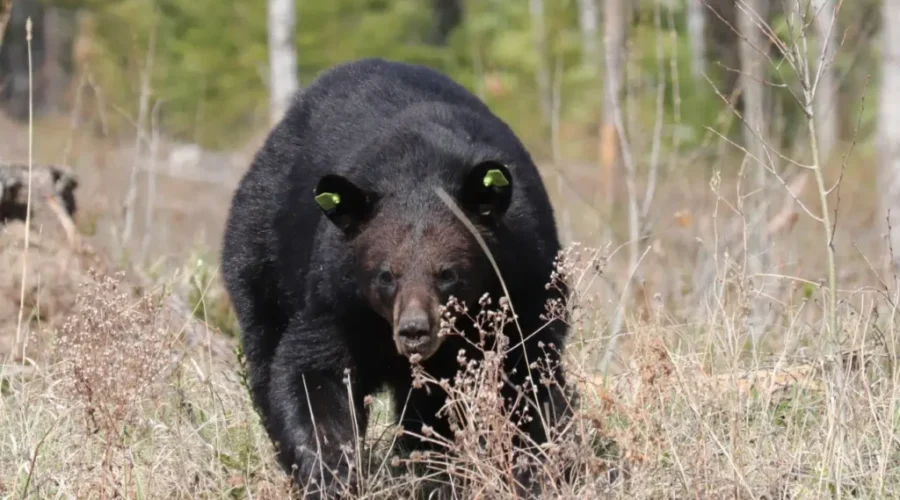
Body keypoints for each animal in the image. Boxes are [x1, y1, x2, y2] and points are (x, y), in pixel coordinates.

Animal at [220, 58, 573, 498]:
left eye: (448, 274)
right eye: (386, 274)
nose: (414, 331)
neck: (421, 168)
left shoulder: (525, 282)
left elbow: (527, 376)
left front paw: (532, 471)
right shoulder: (336, 297)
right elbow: (312, 373)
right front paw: (333, 475)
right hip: (261, 251)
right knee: (265, 347)